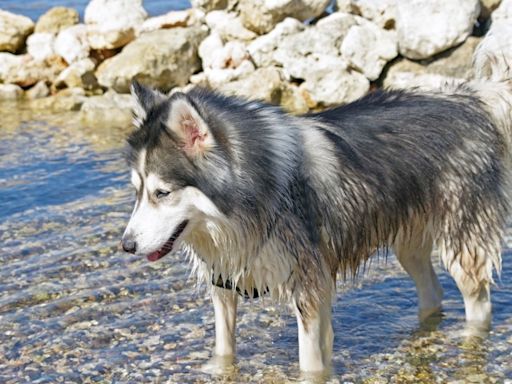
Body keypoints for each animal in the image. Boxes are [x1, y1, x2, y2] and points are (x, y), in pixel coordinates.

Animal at [123, 42, 512, 372]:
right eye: (137, 191)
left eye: (162, 192)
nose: (126, 245)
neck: (249, 201)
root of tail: (471, 98)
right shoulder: (224, 282)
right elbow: (224, 346)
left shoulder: (310, 287)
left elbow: (310, 362)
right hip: (408, 244)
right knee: (433, 292)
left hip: (462, 244)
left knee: (478, 301)